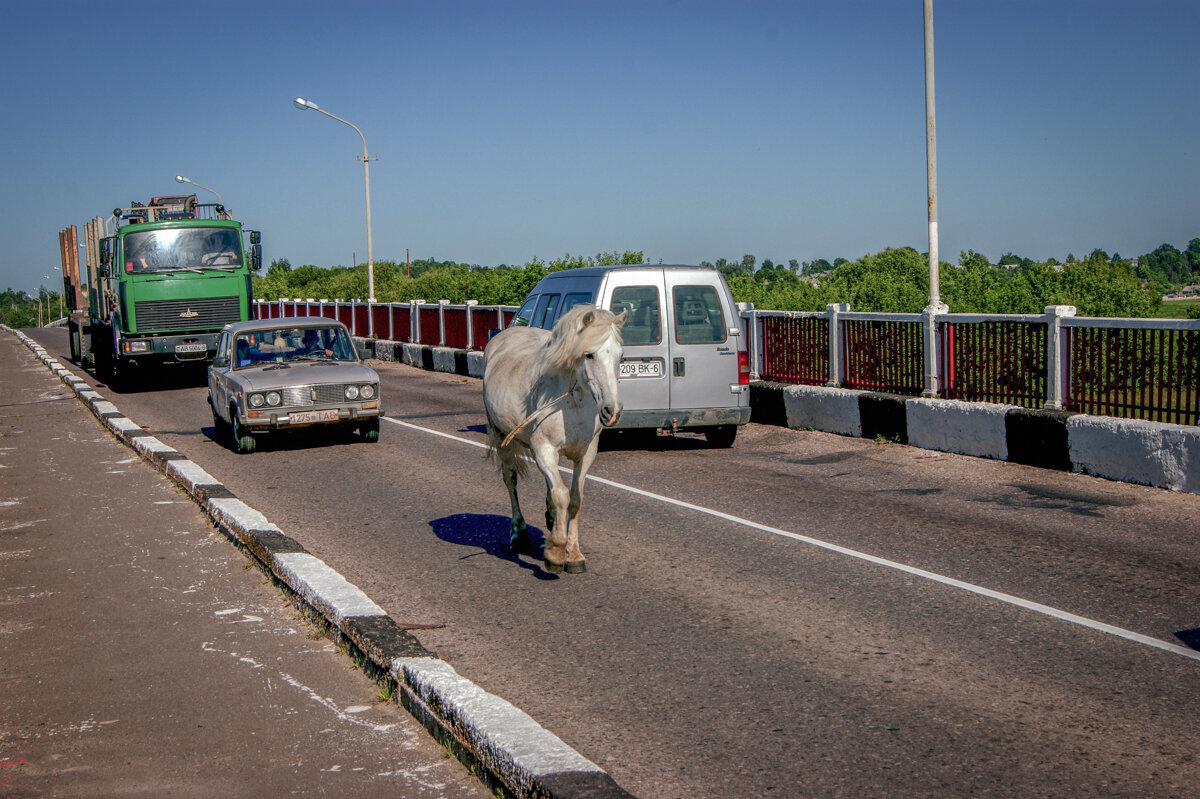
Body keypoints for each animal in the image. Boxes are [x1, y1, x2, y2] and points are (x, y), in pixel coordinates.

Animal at [482, 302, 628, 568]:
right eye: (589, 355)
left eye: (620, 356)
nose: (612, 411)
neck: (573, 401)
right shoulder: (545, 450)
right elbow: (561, 494)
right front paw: (556, 551)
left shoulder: (585, 455)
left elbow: (575, 499)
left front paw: (574, 554)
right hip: (500, 436)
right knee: (511, 479)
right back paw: (519, 533)